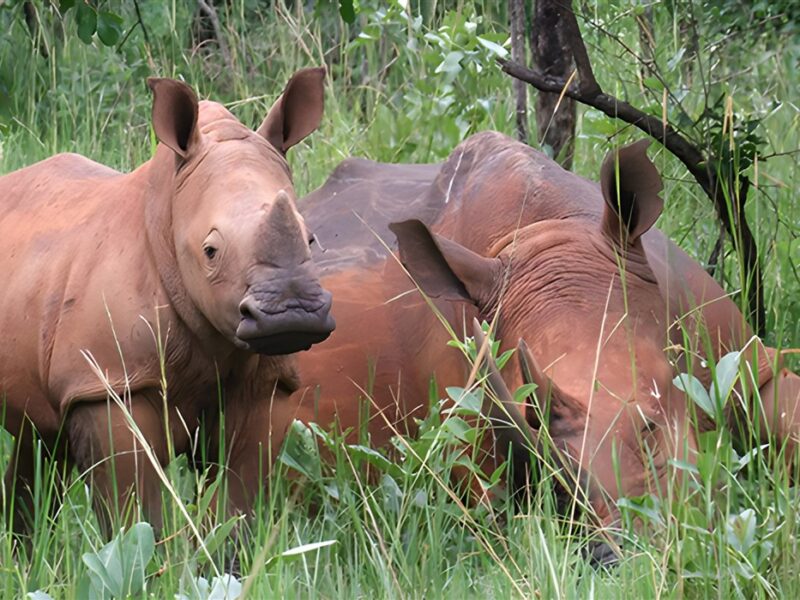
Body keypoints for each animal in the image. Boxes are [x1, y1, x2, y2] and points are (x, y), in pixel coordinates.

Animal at [0, 68, 335, 532]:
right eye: (210, 251)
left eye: (312, 239)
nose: (292, 315)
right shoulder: (109, 383)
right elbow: (134, 511)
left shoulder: (265, 384)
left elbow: (238, 501)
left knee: (39, 437)